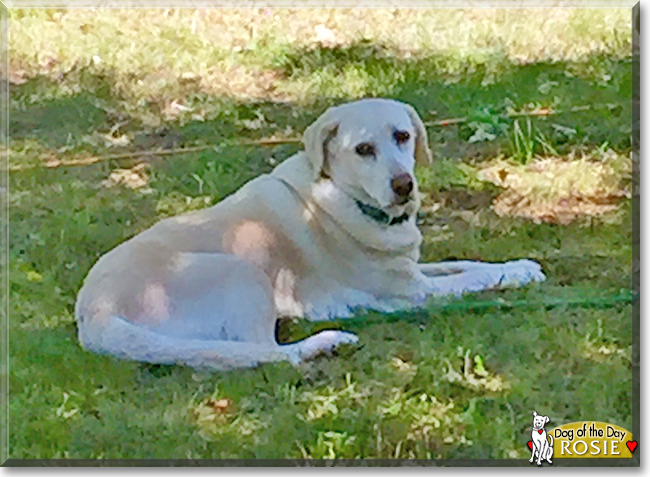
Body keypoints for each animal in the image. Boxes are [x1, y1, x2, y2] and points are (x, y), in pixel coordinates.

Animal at [73, 98, 544, 370]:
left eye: (403, 136)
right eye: (363, 150)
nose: (404, 185)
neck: (343, 195)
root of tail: (94, 312)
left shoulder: (414, 270)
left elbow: (467, 263)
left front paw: (520, 265)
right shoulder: (415, 291)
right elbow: (476, 277)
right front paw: (516, 275)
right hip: (241, 271)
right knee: (267, 354)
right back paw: (324, 342)